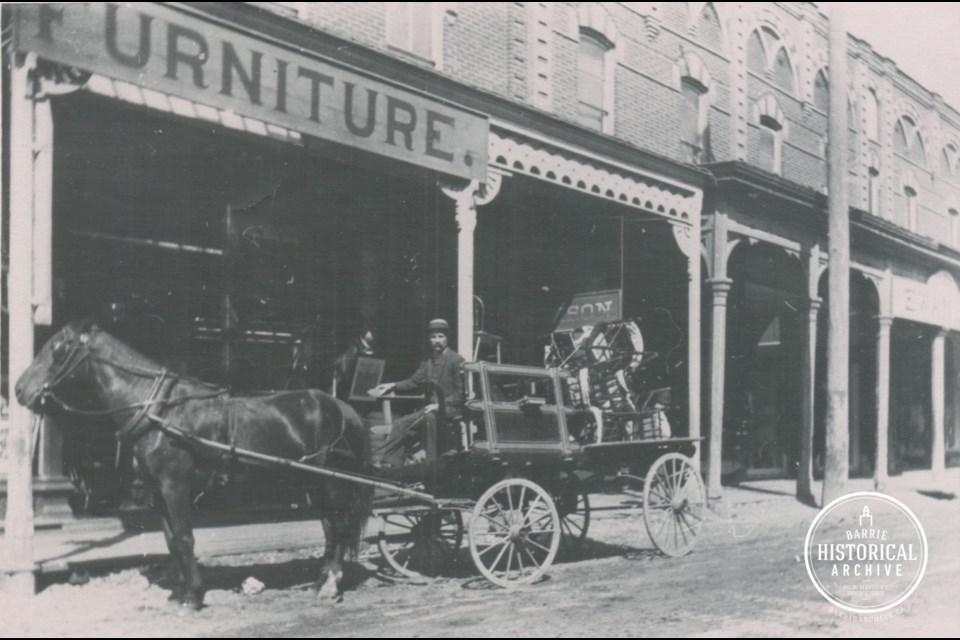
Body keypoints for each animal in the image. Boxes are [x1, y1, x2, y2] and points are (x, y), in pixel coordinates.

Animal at [16, 318, 376, 608]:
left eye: (56, 348)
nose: (19, 389)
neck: (159, 412)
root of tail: (343, 408)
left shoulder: (176, 486)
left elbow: (185, 537)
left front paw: (193, 596)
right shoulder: (157, 491)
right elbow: (171, 540)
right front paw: (179, 594)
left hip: (331, 483)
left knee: (339, 527)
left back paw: (330, 585)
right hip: (314, 484)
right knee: (330, 529)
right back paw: (320, 582)